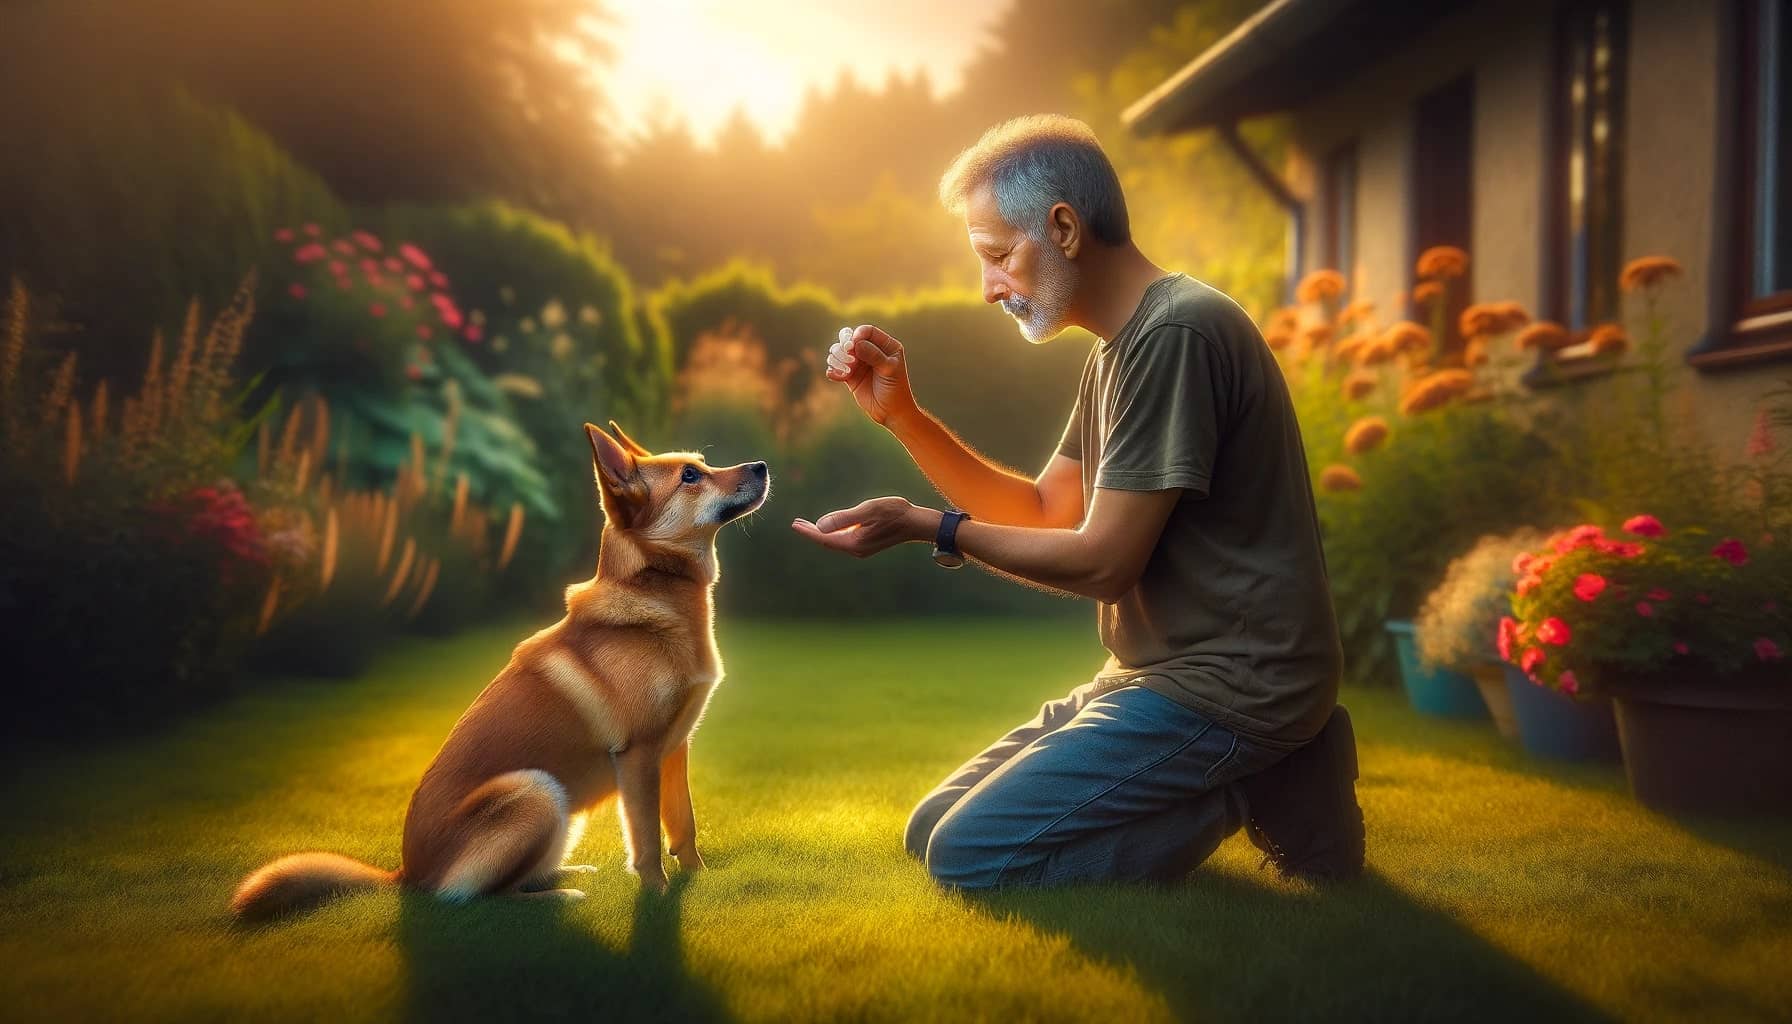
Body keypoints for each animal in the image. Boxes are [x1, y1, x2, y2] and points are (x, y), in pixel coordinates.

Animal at [232, 421, 770, 918]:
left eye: (701, 463)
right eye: (690, 476)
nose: (762, 466)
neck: (655, 594)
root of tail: (406, 875)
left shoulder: (674, 748)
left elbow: (683, 825)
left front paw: (697, 879)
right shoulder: (638, 758)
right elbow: (647, 842)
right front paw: (657, 896)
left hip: (561, 811)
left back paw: (566, 872)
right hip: (536, 790)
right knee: (478, 898)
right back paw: (559, 894)